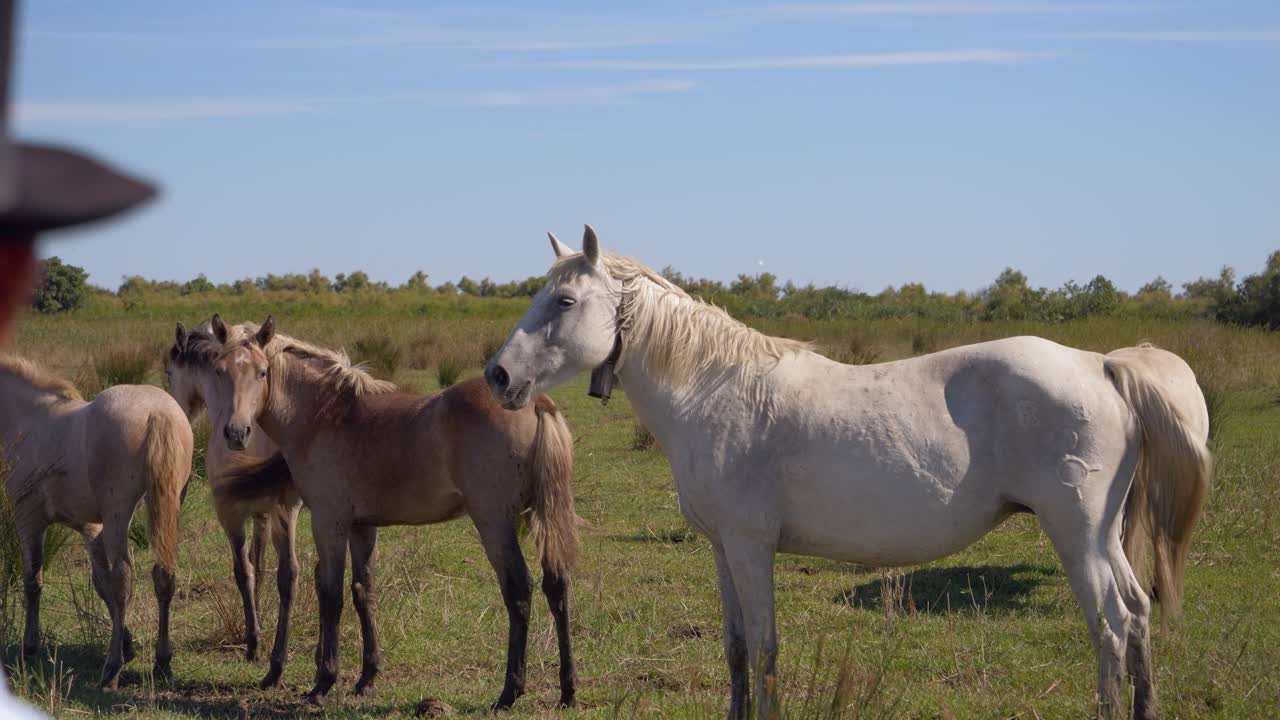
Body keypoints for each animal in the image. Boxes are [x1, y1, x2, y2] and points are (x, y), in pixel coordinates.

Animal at [0, 355, 192, 689]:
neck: (28, 418)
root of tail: (158, 412)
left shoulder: (29, 519)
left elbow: (33, 582)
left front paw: (29, 648)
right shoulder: (90, 528)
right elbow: (101, 583)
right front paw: (128, 644)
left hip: (119, 513)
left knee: (124, 579)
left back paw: (111, 671)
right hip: (166, 505)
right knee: (163, 576)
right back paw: (162, 663)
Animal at [166, 321, 304, 688]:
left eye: (169, 372)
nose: (176, 409)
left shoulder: (232, 515)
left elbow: (244, 571)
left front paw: (253, 640)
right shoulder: (261, 515)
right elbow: (259, 566)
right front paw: (258, 626)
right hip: (289, 510)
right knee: (289, 573)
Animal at [204, 315, 580, 709]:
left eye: (262, 372)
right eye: (219, 370)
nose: (236, 433)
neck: (324, 415)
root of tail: (537, 403)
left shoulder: (329, 521)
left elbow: (331, 595)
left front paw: (323, 682)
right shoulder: (361, 527)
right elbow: (362, 591)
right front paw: (366, 677)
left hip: (495, 522)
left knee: (519, 590)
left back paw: (509, 691)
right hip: (540, 515)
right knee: (557, 586)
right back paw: (567, 690)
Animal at [484, 226, 1211, 720]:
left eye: (564, 301)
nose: (498, 376)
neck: (716, 391)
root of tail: (1103, 366)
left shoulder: (751, 547)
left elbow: (767, 647)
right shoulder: (723, 549)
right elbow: (737, 648)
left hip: (1075, 534)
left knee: (1110, 626)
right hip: (1105, 535)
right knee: (1138, 613)